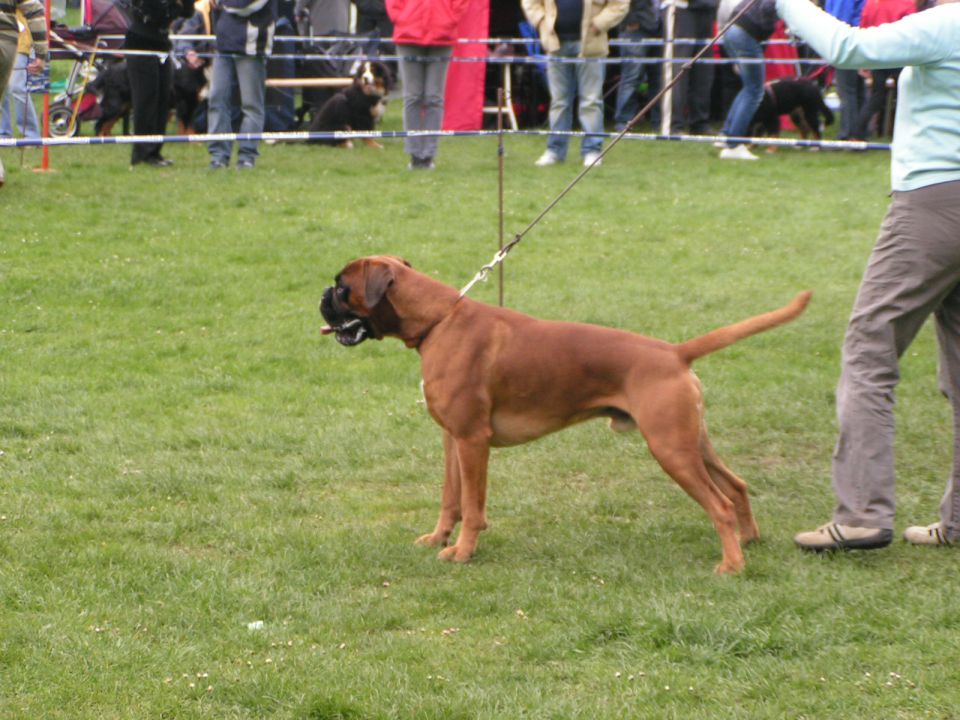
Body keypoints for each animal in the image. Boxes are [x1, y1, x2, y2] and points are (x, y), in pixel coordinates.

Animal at [320, 256, 808, 576]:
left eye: (342, 287)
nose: (322, 296)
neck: (439, 320)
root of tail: (674, 352)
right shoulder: (452, 440)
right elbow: (450, 498)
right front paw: (439, 537)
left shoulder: (473, 441)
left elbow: (473, 507)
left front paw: (462, 552)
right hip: (692, 443)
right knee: (737, 486)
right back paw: (748, 541)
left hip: (671, 449)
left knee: (720, 504)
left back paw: (732, 564)